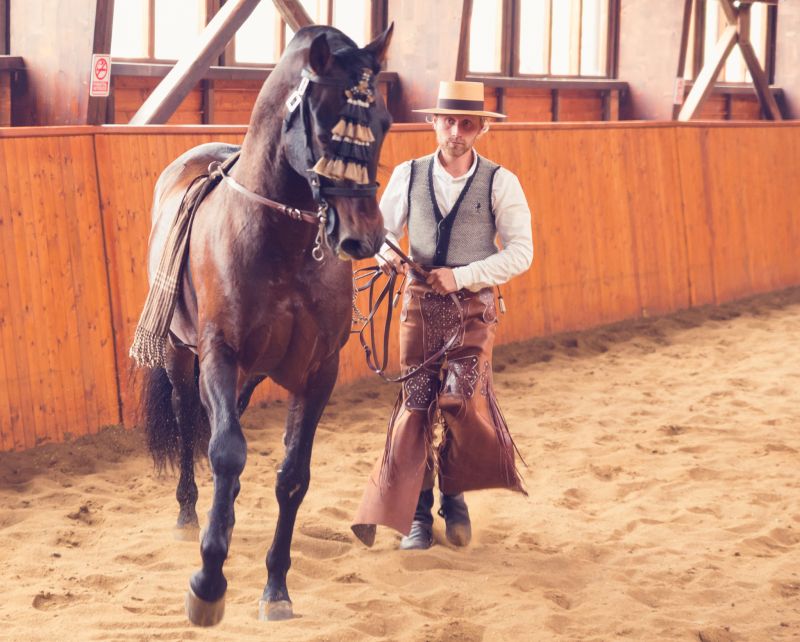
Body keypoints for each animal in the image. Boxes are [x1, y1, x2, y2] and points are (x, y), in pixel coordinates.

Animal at [138, 24, 393, 626]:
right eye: (323, 119)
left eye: (384, 121)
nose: (363, 236)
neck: (283, 242)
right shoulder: (219, 355)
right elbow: (226, 450)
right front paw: (208, 583)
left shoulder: (317, 372)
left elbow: (292, 476)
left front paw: (275, 589)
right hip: (182, 356)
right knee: (189, 419)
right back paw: (190, 512)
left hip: (250, 374)